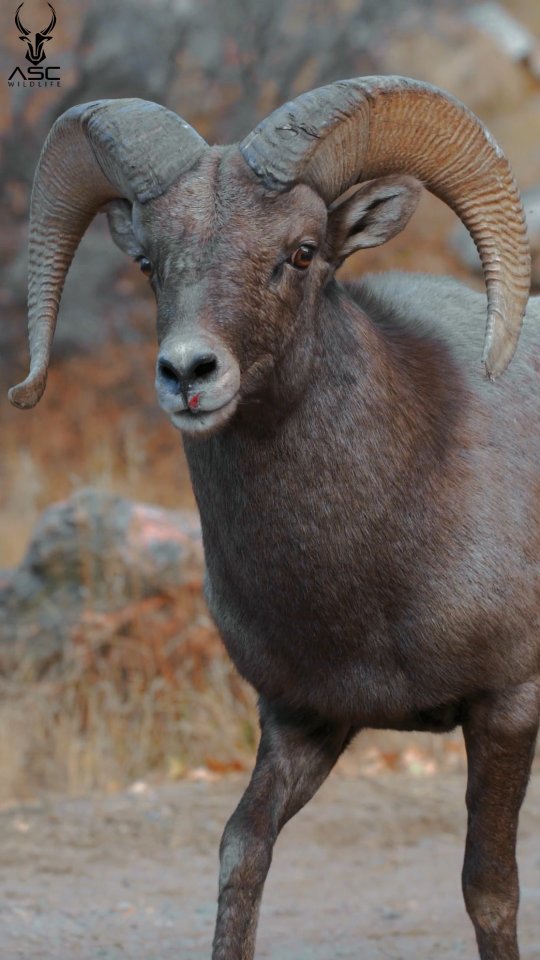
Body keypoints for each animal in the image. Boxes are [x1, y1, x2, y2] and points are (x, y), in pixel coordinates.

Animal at [9, 76, 539, 960]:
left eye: (302, 252)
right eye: (149, 261)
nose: (188, 374)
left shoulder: (506, 706)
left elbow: (490, 889)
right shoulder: (299, 721)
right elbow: (241, 854)